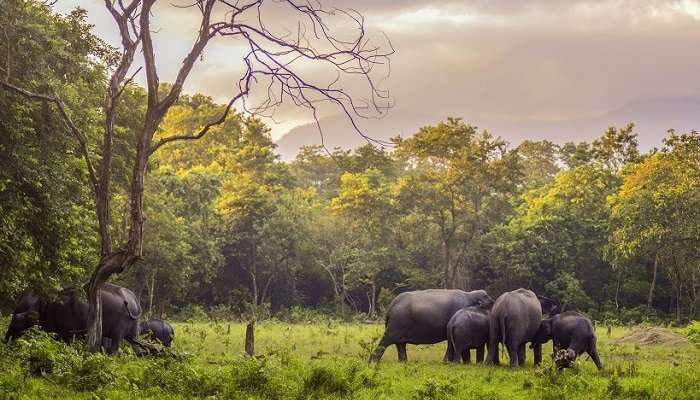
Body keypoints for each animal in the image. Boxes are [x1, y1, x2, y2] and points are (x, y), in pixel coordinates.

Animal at [3, 282, 150, 354]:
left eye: (16, 321)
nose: (4, 340)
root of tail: (134, 300)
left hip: (121, 324)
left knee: (116, 344)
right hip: (133, 325)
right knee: (136, 345)